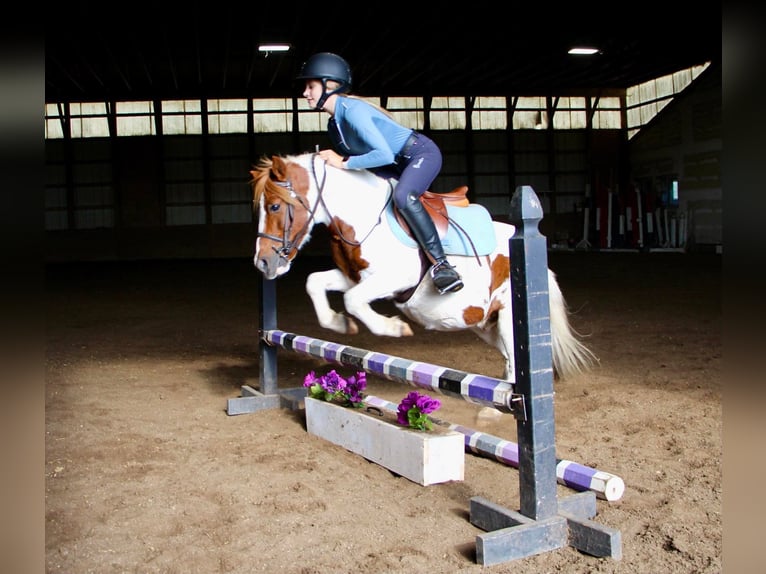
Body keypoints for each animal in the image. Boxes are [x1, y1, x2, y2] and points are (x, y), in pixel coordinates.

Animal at [249, 153, 596, 388]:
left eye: (275, 207)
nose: (263, 263)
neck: (362, 215)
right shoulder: (354, 277)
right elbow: (315, 283)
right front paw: (339, 324)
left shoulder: (393, 280)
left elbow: (353, 301)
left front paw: (393, 328)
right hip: (486, 324)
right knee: (509, 362)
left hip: (510, 318)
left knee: (516, 370)